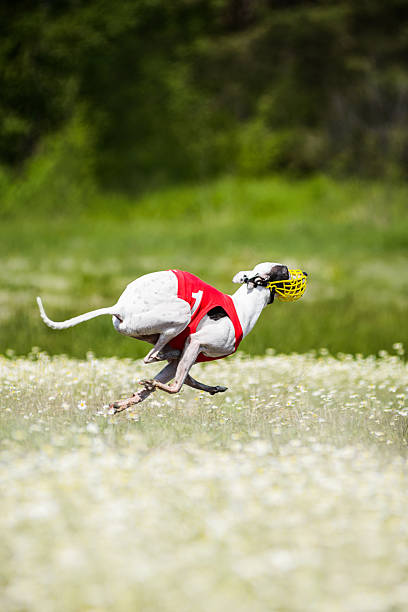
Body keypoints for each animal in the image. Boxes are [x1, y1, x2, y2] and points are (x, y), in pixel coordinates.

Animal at [36, 262, 288, 412]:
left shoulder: (186, 355)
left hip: (144, 329)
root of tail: (120, 306)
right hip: (181, 313)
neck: (243, 306)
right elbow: (177, 384)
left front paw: (131, 399)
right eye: (283, 270)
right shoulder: (196, 342)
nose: (296, 270)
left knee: (160, 356)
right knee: (152, 356)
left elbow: (174, 377)